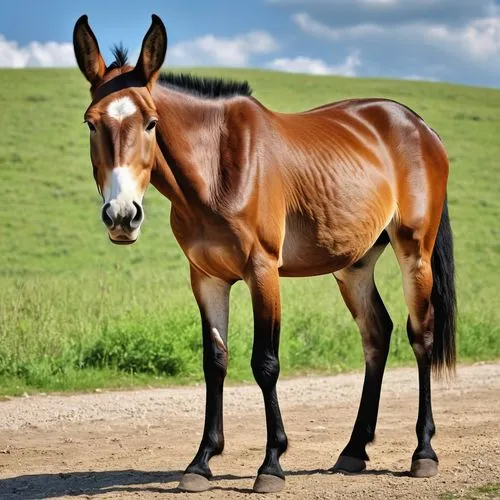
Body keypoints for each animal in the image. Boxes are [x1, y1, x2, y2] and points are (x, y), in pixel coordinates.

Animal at [74, 13, 458, 494]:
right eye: (91, 123)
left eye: (150, 122)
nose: (122, 215)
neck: (218, 167)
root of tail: (420, 126)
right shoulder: (206, 278)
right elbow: (215, 362)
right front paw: (201, 462)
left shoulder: (263, 271)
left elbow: (266, 363)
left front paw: (271, 463)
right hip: (355, 265)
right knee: (377, 333)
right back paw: (353, 450)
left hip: (414, 252)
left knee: (420, 334)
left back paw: (424, 452)